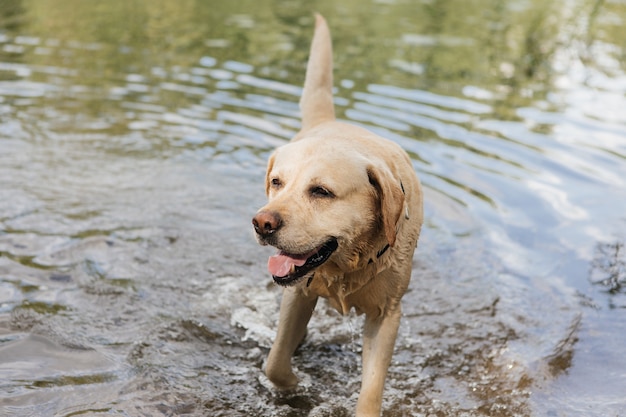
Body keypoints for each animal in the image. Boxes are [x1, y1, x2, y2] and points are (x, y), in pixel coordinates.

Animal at [251, 13, 422, 416]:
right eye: (277, 182)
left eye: (321, 192)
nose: (262, 224)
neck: (347, 264)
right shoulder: (298, 294)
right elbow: (275, 363)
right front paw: (297, 387)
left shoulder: (387, 315)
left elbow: (371, 388)